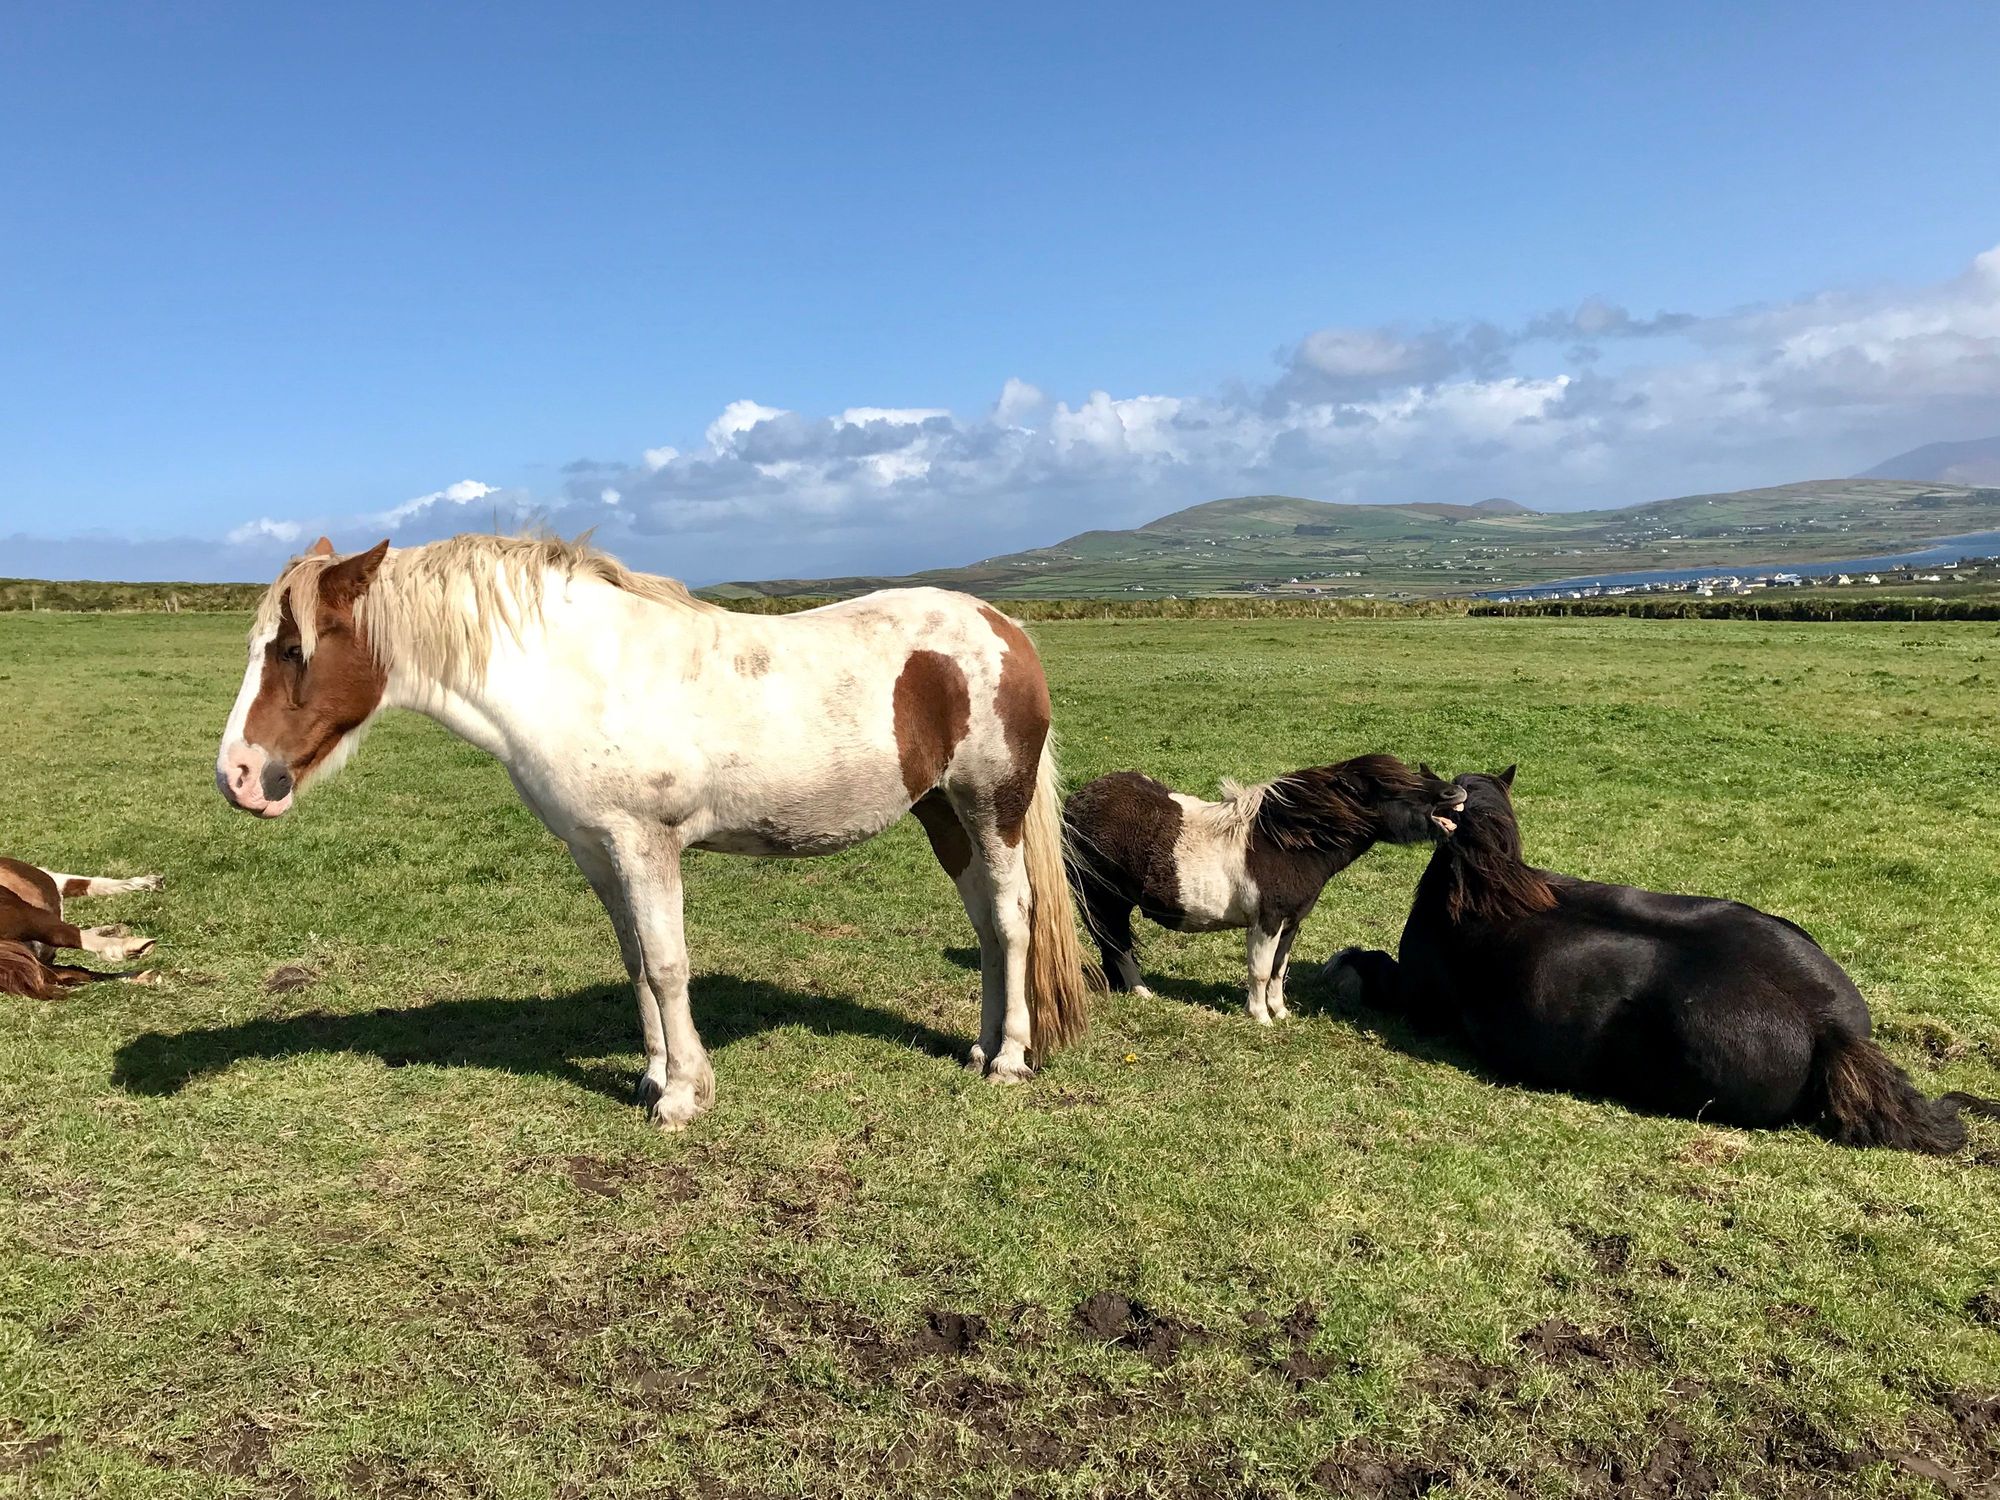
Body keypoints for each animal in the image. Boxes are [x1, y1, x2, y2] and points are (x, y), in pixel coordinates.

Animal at [214, 533, 1094, 1128]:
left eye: (292, 649)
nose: (238, 776)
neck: (579, 674)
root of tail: (1004, 627)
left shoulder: (646, 845)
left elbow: (669, 966)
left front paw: (681, 1095)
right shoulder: (596, 851)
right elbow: (637, 963)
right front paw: (652, 1076)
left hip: (990, 805)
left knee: (1012, 922)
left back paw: (1009, 1059)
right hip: (943, 814)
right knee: (984, 927)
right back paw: (979, 1046)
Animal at [1062, 755, 1465, 1022]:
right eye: (1393, 788)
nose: (1456, 792)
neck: (1286, 842)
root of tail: (1073, 803)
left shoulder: (1291, 923)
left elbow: (1278, 970)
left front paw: (1280, 1011)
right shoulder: (1266, 921)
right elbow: (1259, 969)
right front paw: (1259, 1016)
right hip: (1103, 902)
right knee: (1117, 946)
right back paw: (1141, 991)